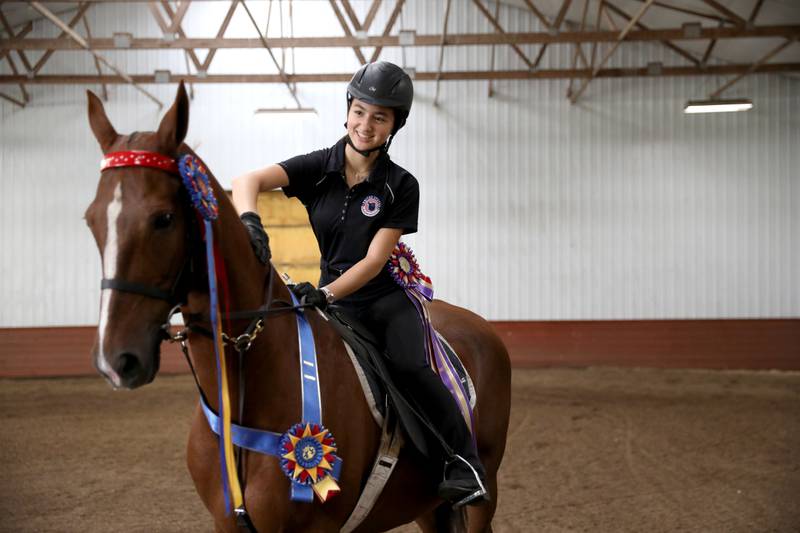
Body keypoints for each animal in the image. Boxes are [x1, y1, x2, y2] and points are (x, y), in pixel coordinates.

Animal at [84, 83, 510, 532]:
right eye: (91, 220)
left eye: (163, 219)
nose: (116, 360)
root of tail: (481, 326)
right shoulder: (226, 523)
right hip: (428, 507)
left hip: (481, 497)